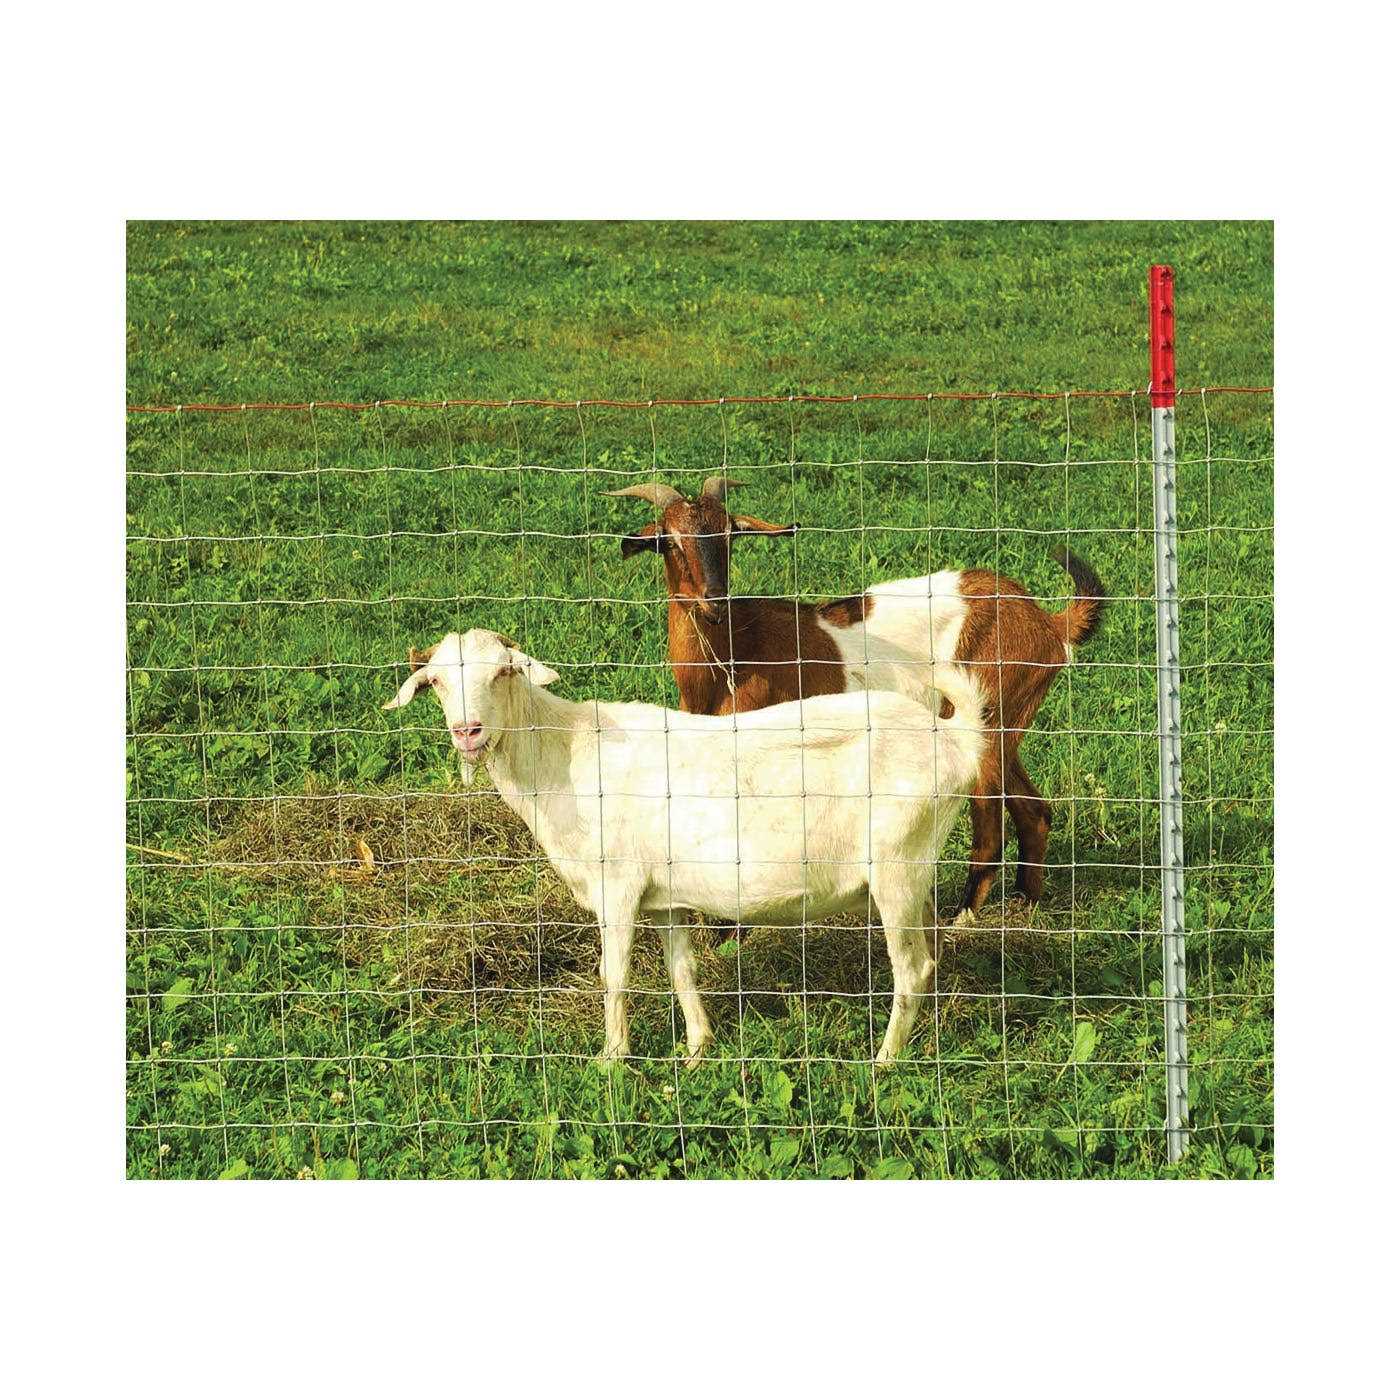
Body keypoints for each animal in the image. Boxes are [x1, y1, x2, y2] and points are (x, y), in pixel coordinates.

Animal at [383, 629, 988, 1064]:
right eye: (436, 682)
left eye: (503, 672)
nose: (468, 732)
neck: (565, 753)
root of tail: (956, 739)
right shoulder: (665, 896)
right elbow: (681, 969)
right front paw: (697, 1049)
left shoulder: (618, 886)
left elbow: (614, 974)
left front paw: (612, 1060)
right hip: (913, 873)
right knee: (929, 955)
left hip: (896, 867)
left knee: (911, 967)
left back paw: (885, 1063)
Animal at [606, 477, 1105, 921]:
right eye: (669, 541)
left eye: (730, 533)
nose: (713, 599)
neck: (733, 655)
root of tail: (1047, 623)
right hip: (1008, 722)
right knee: (1034, 810)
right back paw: (1026, 904)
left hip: (987, 719)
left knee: (989, 825)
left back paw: (962, 917)